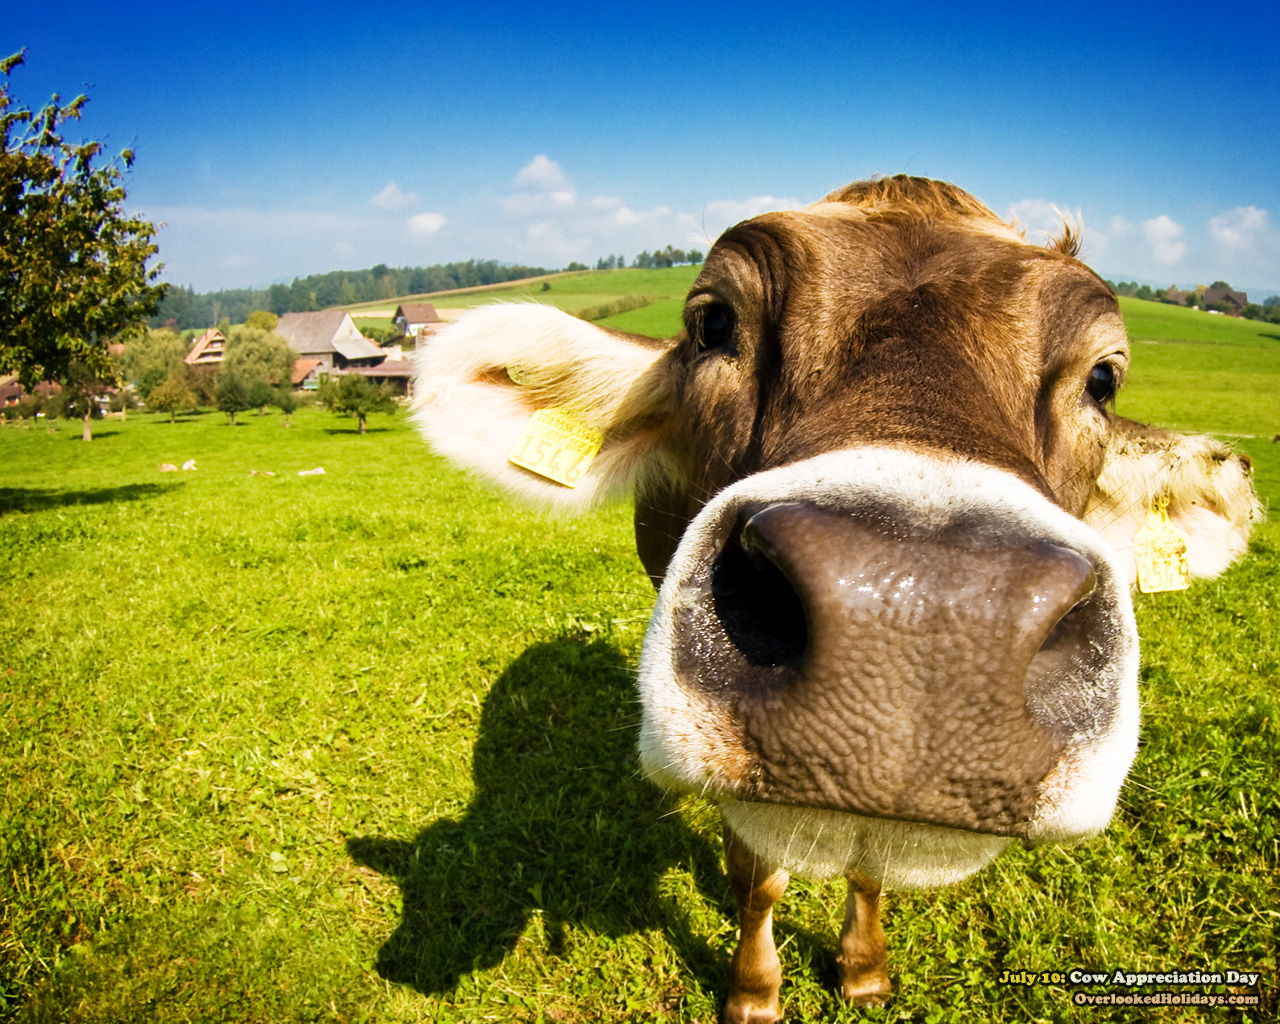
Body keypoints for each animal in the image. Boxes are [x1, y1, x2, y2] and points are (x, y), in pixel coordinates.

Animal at [409, 176, 1259, 1021]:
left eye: (1103, 378)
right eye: (714, 322)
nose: (924, 613)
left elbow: (868, 869)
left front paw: (864, 968)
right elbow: (759, 877)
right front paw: (754, 991)